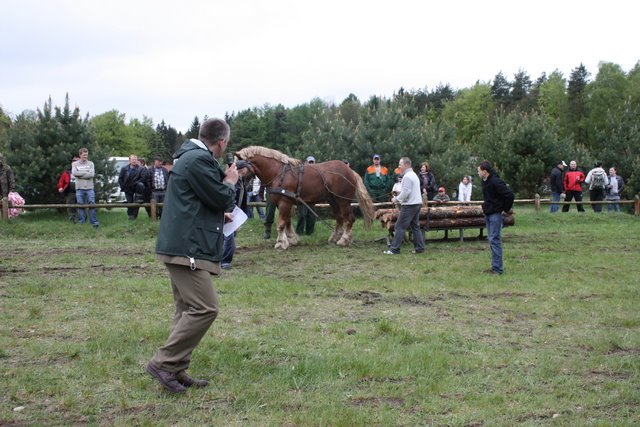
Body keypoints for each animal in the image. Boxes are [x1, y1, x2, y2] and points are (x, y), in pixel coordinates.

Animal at [235, 147, 376, 251]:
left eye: (239, 167)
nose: (236, 185)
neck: (278, 172)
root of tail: (350, 171)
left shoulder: (285, 202)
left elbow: (281, 223)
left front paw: (281, 242)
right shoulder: (285, 203)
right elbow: (287, 222)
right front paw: (291, 239)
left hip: (343, 201)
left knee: (349, 218)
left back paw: (344, 239)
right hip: (333, 201)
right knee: (339, 218)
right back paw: (335, 238)